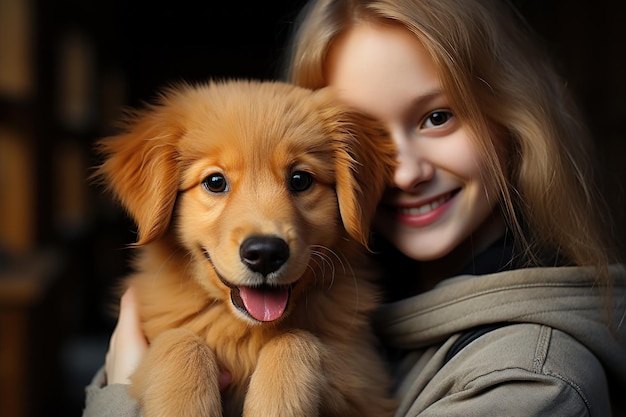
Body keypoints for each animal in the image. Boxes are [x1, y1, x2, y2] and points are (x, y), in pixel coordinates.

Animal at [94, 79, 394, 416]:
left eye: (300, 180)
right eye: (215, 182)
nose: (265, 254)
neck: (247, 328)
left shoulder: (366, 373)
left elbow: (295, 338)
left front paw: (275, 404)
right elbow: (180, 340)